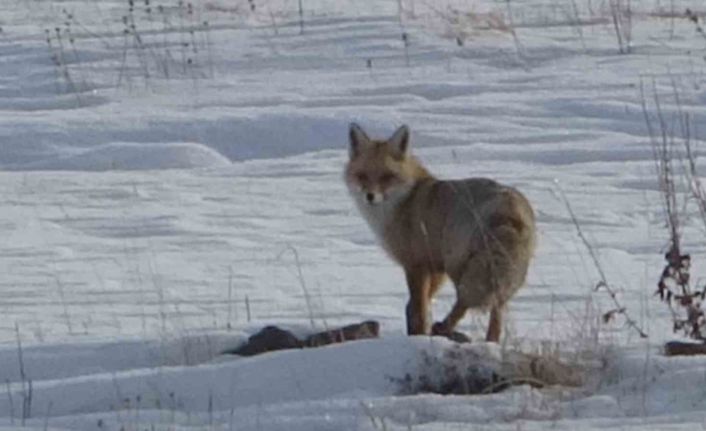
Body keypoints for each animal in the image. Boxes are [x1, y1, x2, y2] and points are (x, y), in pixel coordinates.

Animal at [342, 123, 532, 342]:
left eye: (387, 177)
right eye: (362, 175)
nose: (370, 196)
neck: (406, 199)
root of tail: (509, 207)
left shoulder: (416, 264)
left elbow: (418, 306)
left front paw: (419, 333)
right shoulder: (434, 267)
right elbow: (419, 303)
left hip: (458, 266)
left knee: (464, 301)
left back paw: (444, 327)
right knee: (497, 309)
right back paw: (490, 341)